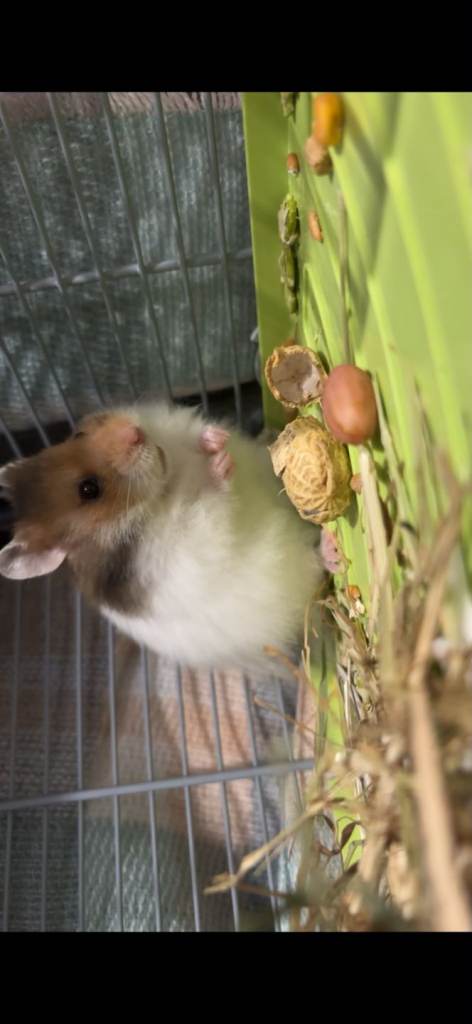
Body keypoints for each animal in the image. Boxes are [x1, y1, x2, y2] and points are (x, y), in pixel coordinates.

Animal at [0, 403, 323, 675]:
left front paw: (214, 439)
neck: (158, 494)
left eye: (77, 435)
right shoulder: (188, 549)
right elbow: (212, 506)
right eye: (89, 489)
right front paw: (219, 464)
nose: (136, 432)